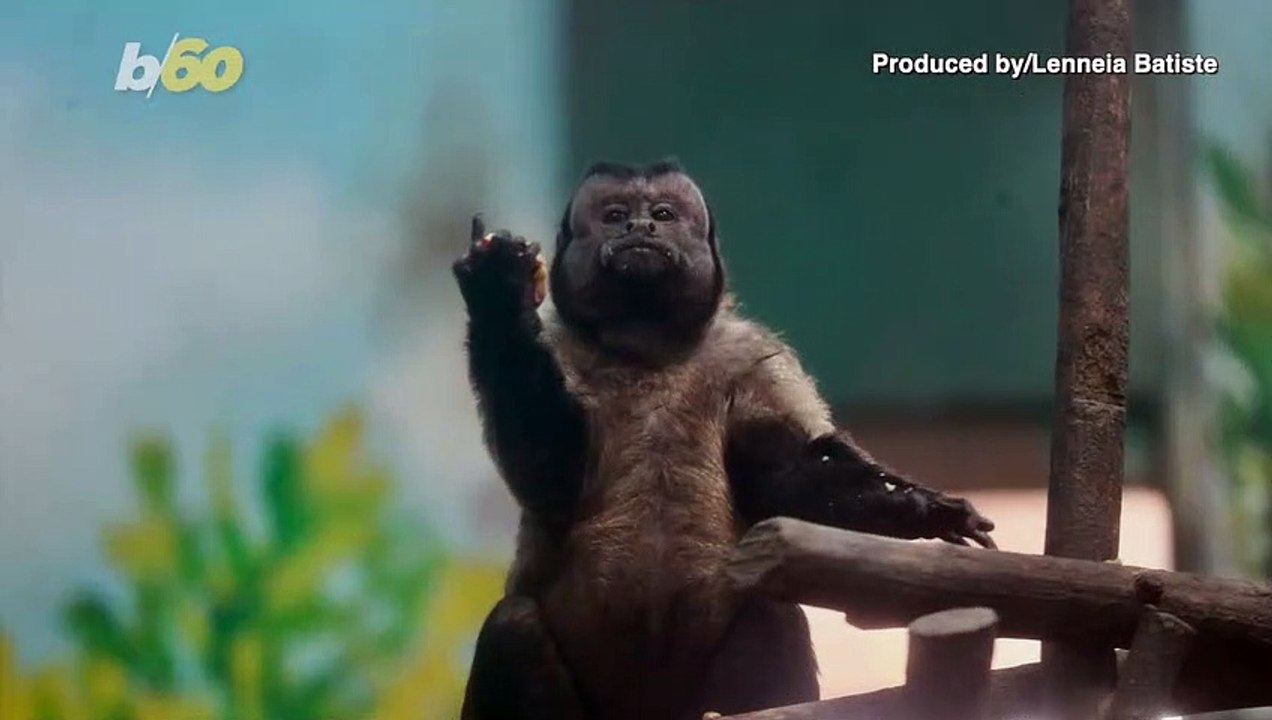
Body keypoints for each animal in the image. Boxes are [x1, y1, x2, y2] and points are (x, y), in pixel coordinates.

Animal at [452, 159, 996, 720]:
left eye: (662, 214)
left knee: (770, 614)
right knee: (514, 626)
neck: (645, 350)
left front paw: (913, 508)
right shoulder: (563, 350)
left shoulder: (753, 356)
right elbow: (548, 477)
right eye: (615, 215)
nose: (638, 228)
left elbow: (784, 478)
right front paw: (498, 295)